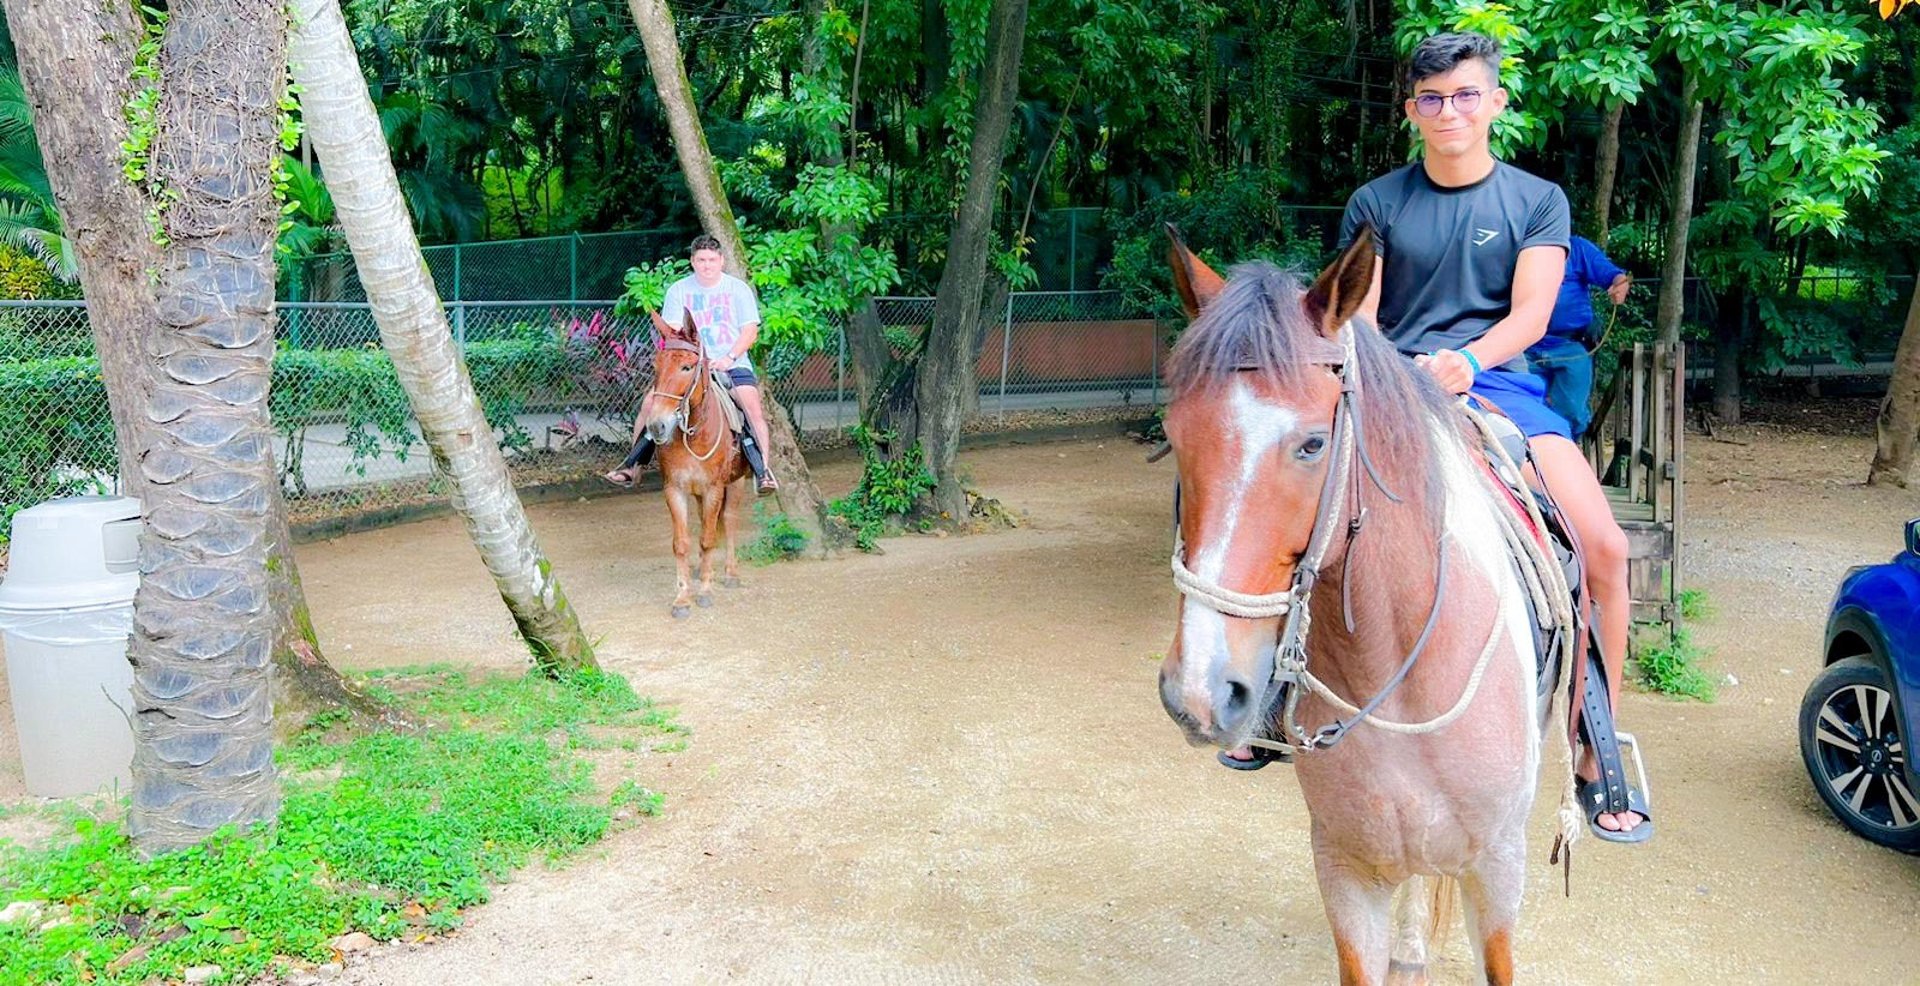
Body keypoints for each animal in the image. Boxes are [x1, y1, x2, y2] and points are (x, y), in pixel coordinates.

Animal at [637, 310, 741, 613]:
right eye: (656, 366)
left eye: (686, 367)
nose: (657, 425)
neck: (694, 436)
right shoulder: (675, 489)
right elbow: (681, 543)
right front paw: (683, 597)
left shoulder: (714, 489)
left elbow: (707, 539)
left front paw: (705, 591)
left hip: (737, 482)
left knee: (729, 520)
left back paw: (730, 572)